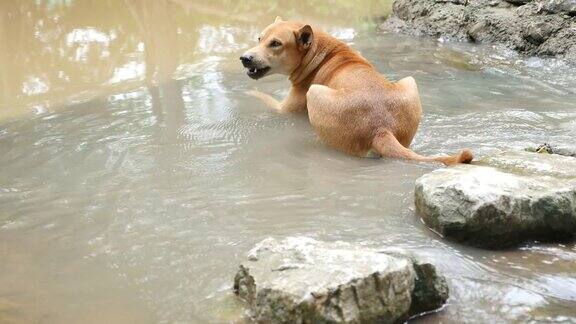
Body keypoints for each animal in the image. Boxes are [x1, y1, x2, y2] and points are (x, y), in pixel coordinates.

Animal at [241, 16, 470, 165]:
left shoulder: (285, 109)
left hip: (315, 93)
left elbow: (264, 98)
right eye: (260, 39)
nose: (244, 58)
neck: (320, 53)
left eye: (276, 43)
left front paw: (250, 95)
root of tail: (381, 129)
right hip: (410, 83)